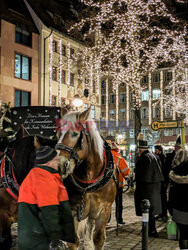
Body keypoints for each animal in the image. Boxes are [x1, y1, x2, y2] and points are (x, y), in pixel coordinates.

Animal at [53, 106, 117, 249]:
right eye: (58, 134)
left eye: (75, 134)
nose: (58, 165)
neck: (88, 183)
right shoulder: (73, 210)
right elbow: (74, 241)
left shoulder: (103, 211)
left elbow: (98, 239)